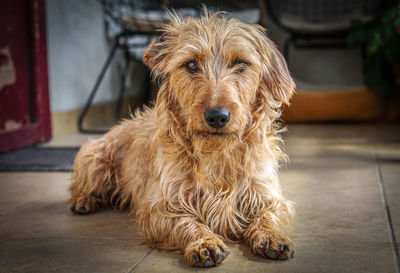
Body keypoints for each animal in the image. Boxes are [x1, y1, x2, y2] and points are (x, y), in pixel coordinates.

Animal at [68, 10, 294, 266]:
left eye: (240, 63)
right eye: (192, 64)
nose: (217, 116)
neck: (216, 155)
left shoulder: (266, 195)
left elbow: (268, 214)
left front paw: (272, 235)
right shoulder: (163, 206)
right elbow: (187, 222)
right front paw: (204, 242)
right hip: (94, 158)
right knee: (80, 184)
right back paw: (83, 200)